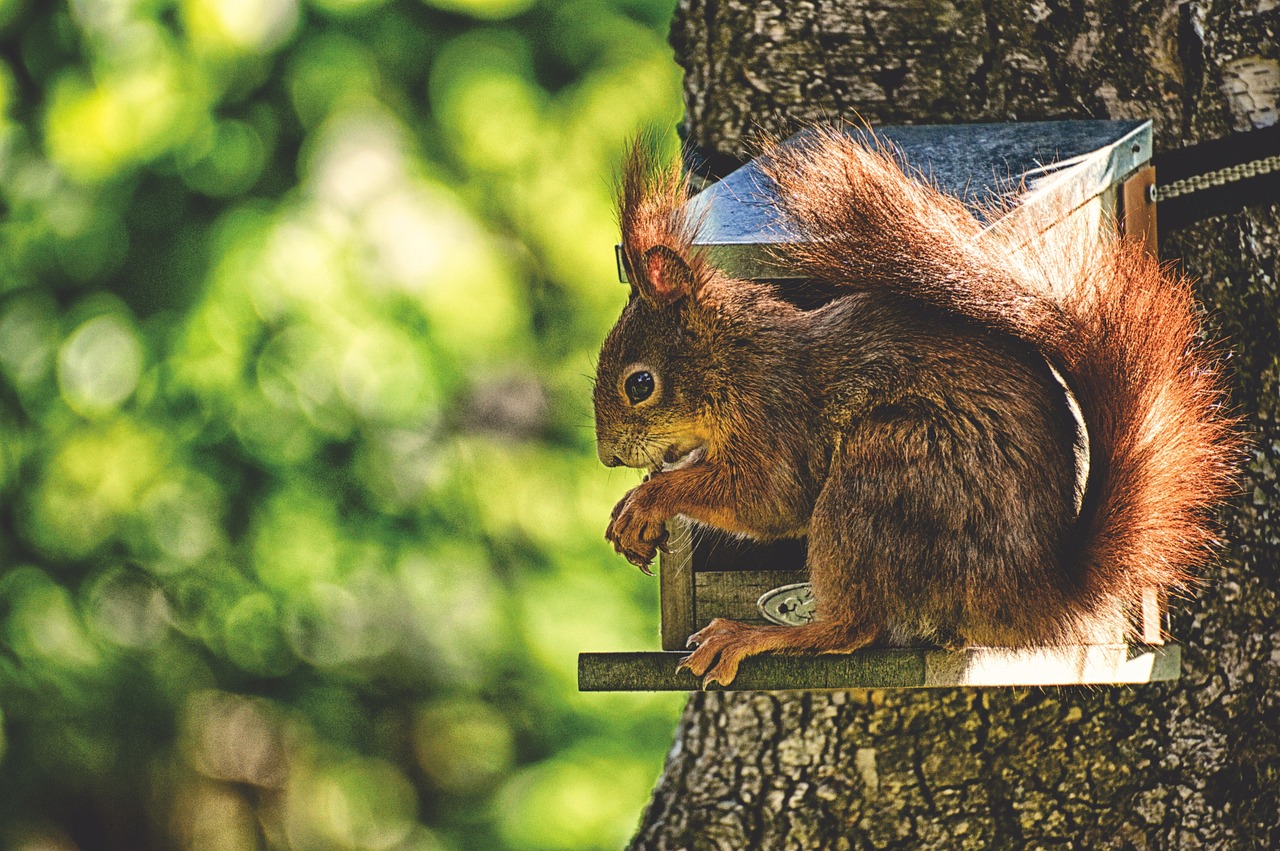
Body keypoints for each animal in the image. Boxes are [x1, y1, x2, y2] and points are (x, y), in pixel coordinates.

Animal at [591, 129, 1239, 685]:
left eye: (640, 384)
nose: (608, 457)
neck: (733, 361)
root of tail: (1031, 591)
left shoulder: (776, 415)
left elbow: (768, 498)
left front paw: (648, 500)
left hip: (885, 472)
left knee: (851, 628)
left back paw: (747, 636)